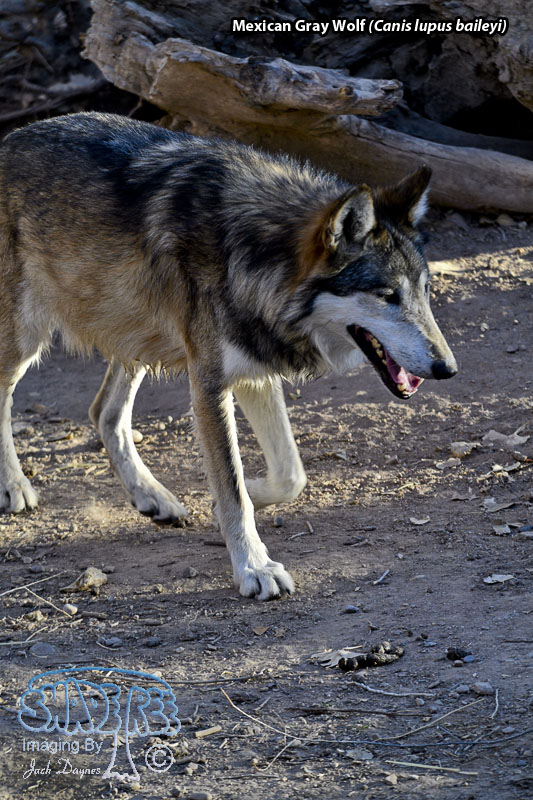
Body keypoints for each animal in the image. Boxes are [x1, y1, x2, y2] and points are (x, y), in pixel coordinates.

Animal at [0, 113, 456, 600]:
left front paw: (246, 495)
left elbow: (290, 474)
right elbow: (234, 489)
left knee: (104, 411)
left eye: (425, 292)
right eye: (387, 296)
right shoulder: (210, 385)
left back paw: (152, 496)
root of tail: (10, 137)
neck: (254, 253)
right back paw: (14, 486)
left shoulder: (254, 371)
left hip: (134, 338)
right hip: (27, 339)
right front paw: (255, 567)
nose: (448, 368)